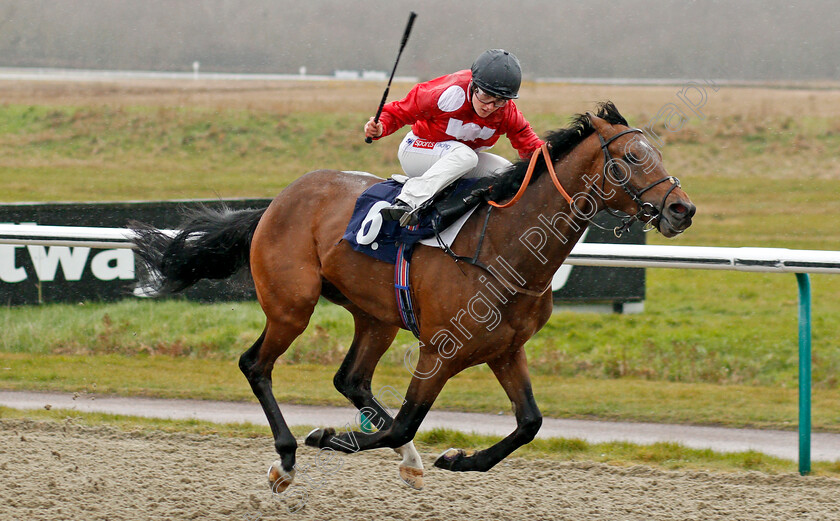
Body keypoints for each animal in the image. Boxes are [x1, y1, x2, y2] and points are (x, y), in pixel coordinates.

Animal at [131, 100, 696, 492]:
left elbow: (529, 423)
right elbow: (405, 422)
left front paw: (456, 458)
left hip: (375, 317)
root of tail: (275, 202)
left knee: (351, 378)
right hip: (292, 306)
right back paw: (287, 459)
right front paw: (328, 438)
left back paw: (406, 461)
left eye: (658, 153)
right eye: (630, 157)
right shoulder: (439, 350)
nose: (682, 209)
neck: (506, 245)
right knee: (256, 365)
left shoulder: (506, 350)